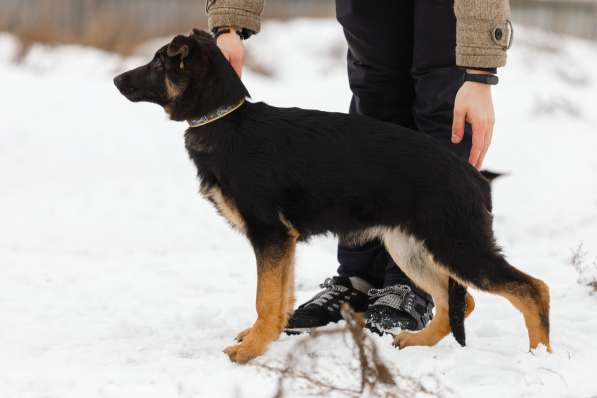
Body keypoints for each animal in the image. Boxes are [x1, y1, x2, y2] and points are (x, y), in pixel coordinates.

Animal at [114, 29, 552, 362]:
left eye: (159, 63)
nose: (117, 80)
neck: (225, 118)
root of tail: (473, 175)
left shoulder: (269, 235)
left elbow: (264, 299)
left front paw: (252, 350)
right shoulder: (283, 242)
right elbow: (277, 299)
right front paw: (261, 337)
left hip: (456, 245)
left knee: (532, 289)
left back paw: (539, 357)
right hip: (410, 248)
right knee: (460, 300)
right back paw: (417, 342)